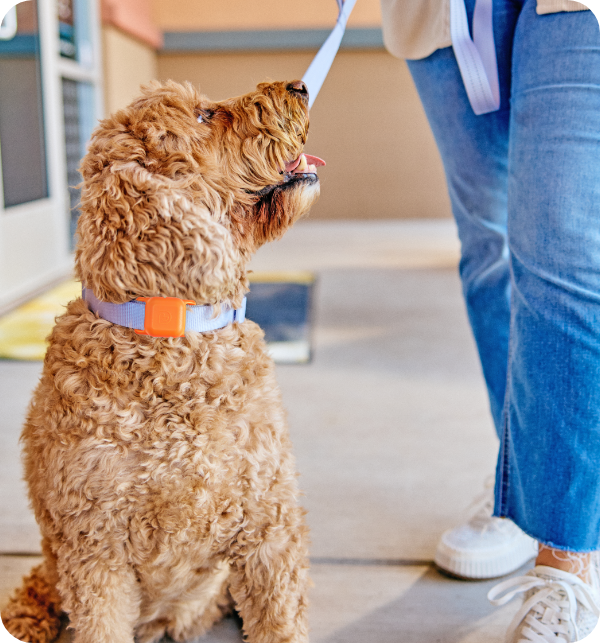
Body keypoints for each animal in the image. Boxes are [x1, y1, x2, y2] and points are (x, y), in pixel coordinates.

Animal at [1, 79, 324, 643]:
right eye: (205, 116)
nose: (301, 85)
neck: (171, 336)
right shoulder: (94, 547)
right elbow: (99, 624)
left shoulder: (268, 521)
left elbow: (280, 621)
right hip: (54, 564)